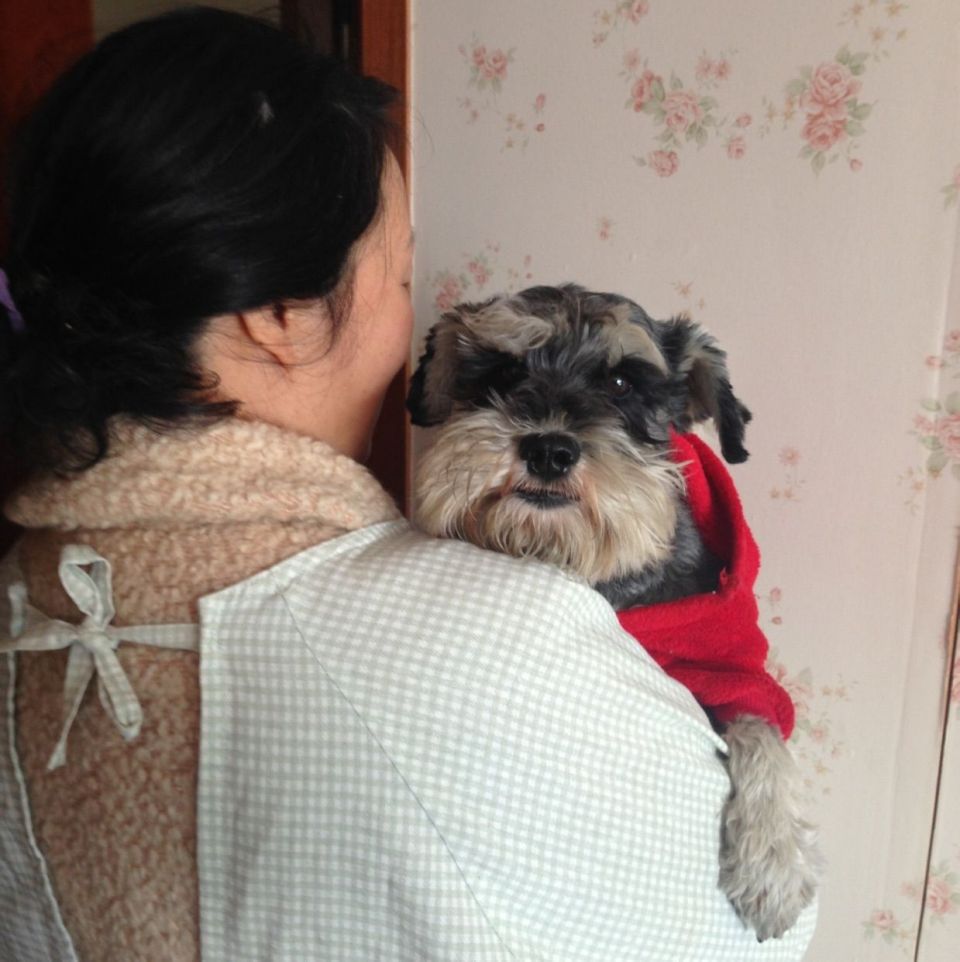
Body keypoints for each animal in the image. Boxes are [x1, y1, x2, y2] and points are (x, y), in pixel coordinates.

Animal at [406, 283, 820, 940]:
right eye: (504, 371)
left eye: (623, 382)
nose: (549, 450)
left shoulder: (732, 674)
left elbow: (764, 732)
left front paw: (773, 862)